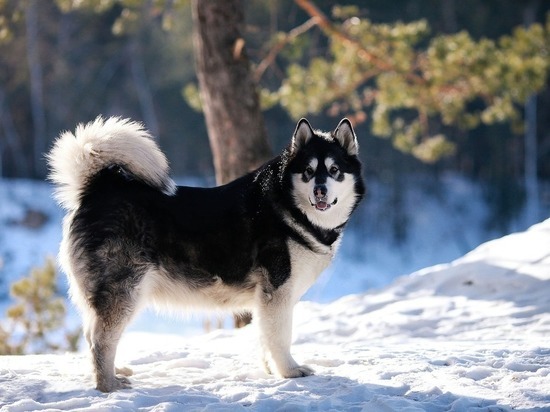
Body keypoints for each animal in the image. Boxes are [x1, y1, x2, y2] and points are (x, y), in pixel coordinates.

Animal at [47, 116, 366, 392]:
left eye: (334, 171)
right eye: (309, 172)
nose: (320, 190)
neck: (289, 207)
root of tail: (97, 189)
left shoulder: (266, 300)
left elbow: (265, 338)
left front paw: (270, 370)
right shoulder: (277, 293)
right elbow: (280, 338)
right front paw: (289, 371)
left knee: (91, 335)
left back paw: (114, 372)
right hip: (124, 292)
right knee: (100, 341)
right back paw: (108, 385)